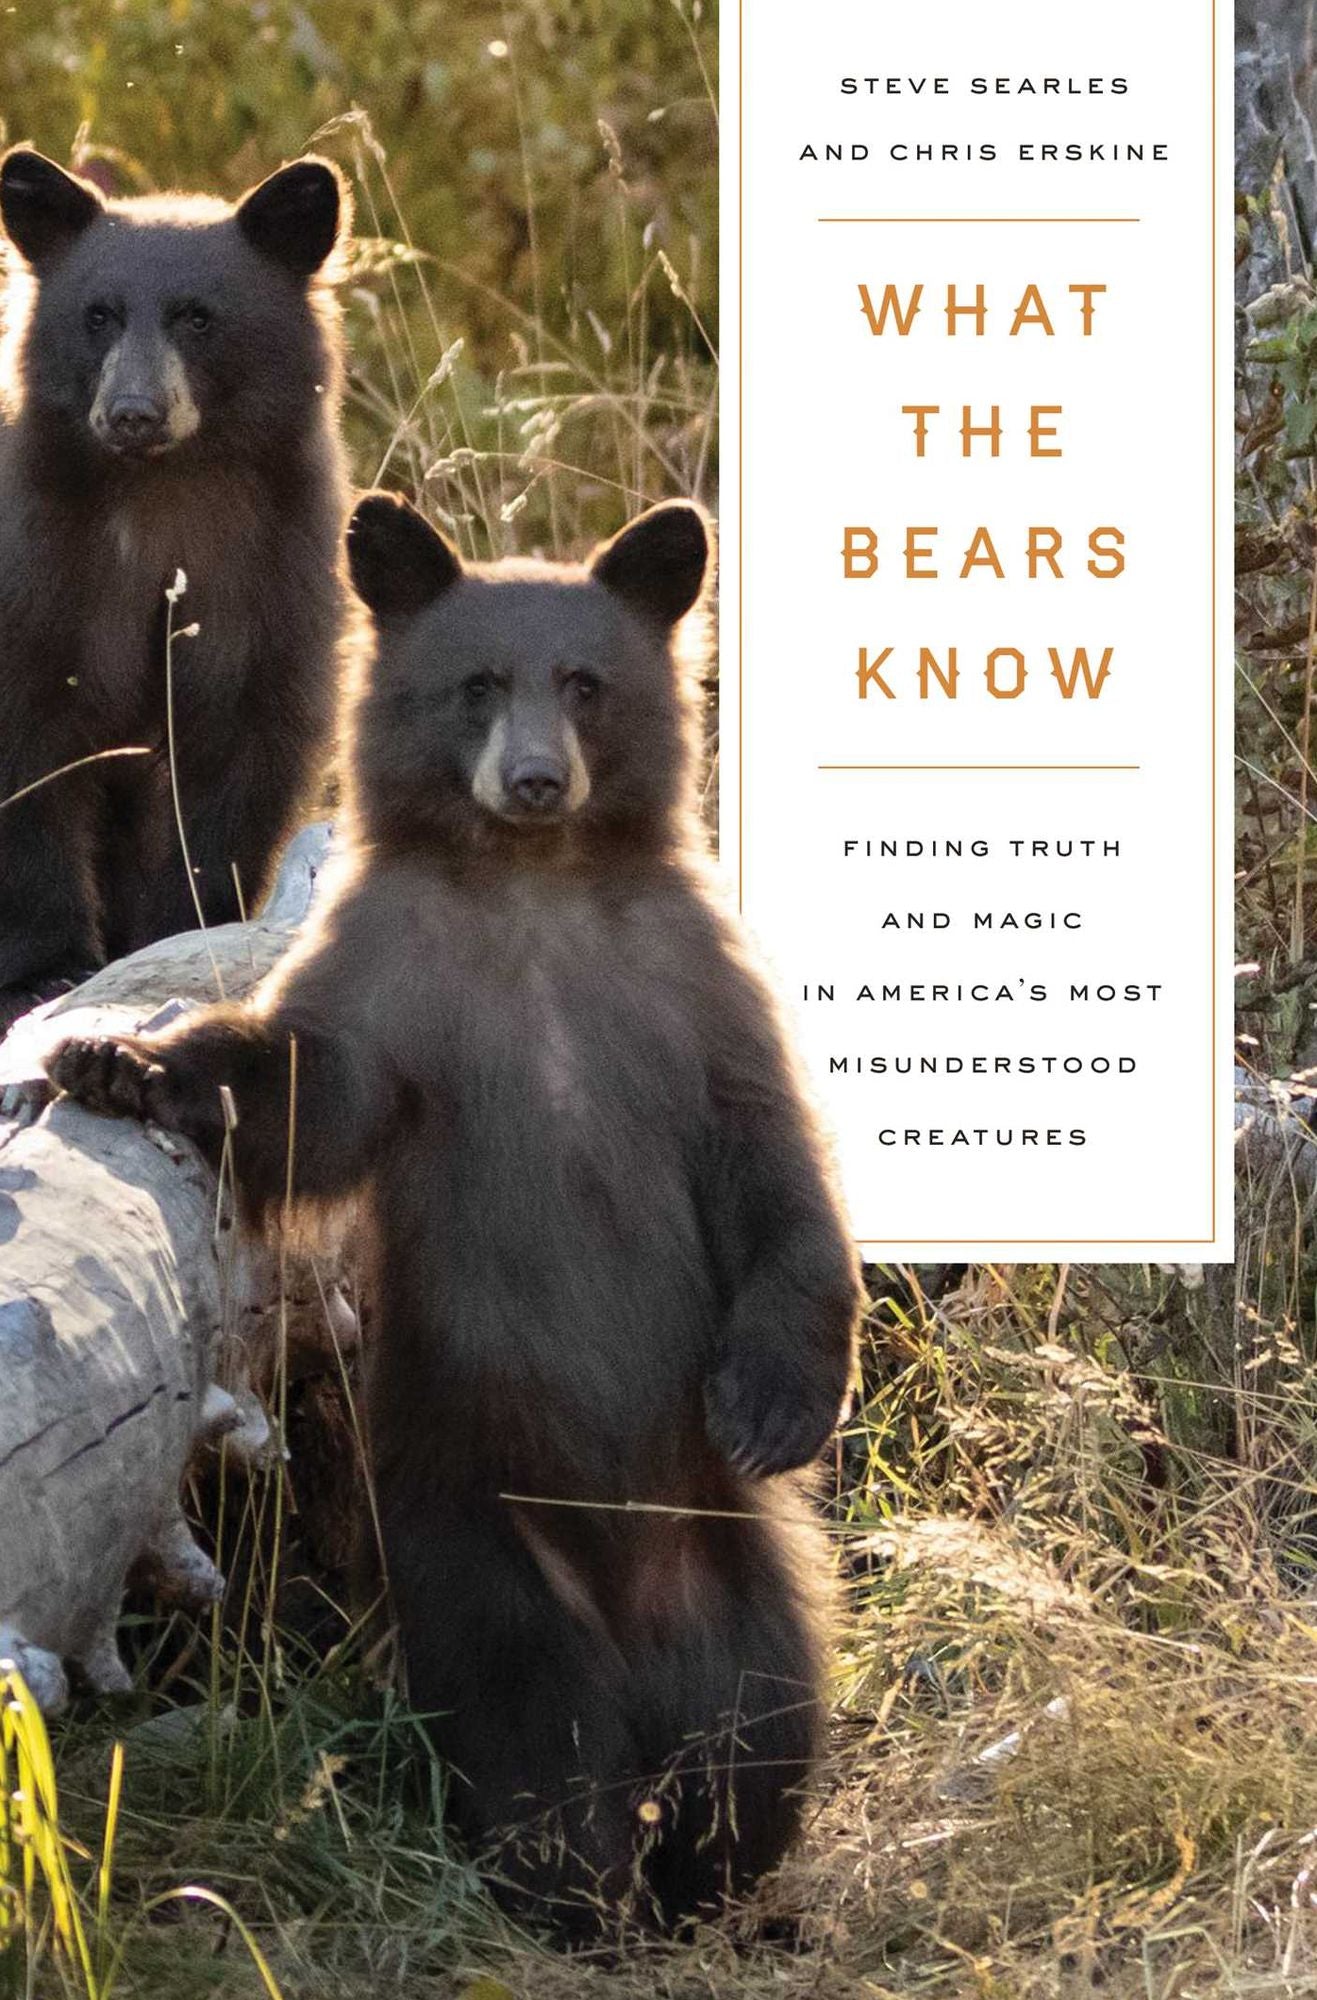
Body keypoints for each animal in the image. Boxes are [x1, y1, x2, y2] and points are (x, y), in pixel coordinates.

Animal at [0, 147, 351, 1031]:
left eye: (197, 317)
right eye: (97, 315)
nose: (132, 412)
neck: (165, 492)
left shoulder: (268, 579)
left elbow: (240, 758)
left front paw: (180, 933)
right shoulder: (42, 575)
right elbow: (29, 755)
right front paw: (46, 968)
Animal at [46, 492, 862, 1941]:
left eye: (584, 683)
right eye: (477, 684)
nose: (536, 781)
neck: (532, 895)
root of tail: (636, 1630)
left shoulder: (692, 991)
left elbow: (778, 1170)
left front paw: (775, 1399)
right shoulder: (397, 986)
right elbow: (303, 1088)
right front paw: (117, 1059)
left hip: (740, 1570)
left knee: (760, 1731)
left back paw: (717, 1883)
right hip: (475, 1547)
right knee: (537, 1737)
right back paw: (575, 1892)